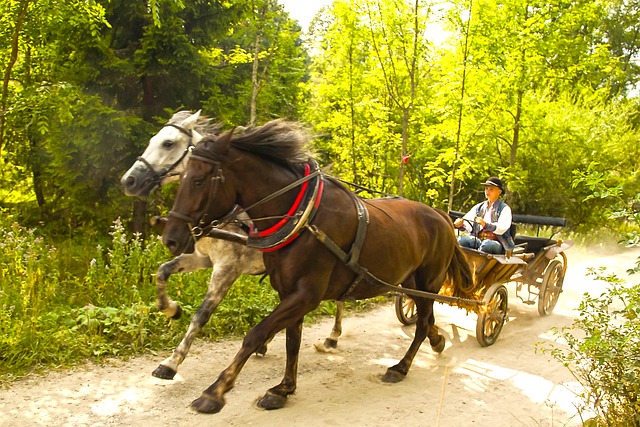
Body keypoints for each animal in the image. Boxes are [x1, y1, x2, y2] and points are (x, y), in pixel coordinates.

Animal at [120, 111, 345, 380]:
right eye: (153, 139)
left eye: (168, 143)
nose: (129, 180)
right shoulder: (202, 258)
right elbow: (162, 272)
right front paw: (171, 309)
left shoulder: (227, 268)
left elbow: (201, 315)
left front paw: (171, 362)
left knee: (341, 297)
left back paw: (332, 336)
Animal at [162, 119, 474, 414]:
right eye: (182, 178)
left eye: (198, 180)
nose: (171, 238)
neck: (302, 217)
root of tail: (442, 216)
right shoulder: (288, 292)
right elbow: (292, 341)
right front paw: (283, 389)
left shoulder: (304, 295)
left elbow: (255, 333)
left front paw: (215, 391)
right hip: (407, 281)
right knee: (425, 317)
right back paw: (436, 341)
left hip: (429, 282)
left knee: (421, 322)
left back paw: (401, 366)